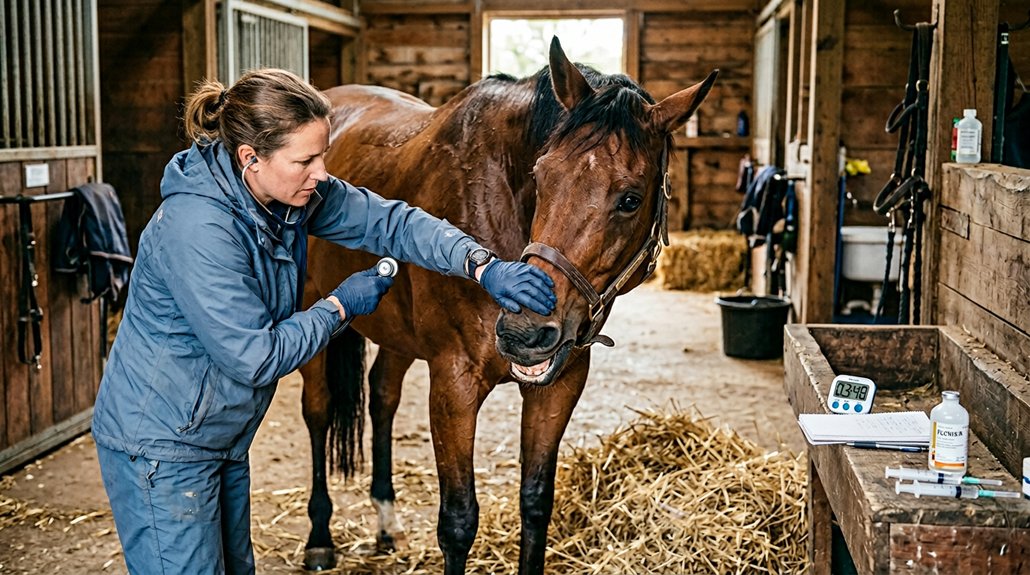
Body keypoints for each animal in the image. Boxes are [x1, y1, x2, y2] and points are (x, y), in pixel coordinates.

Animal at [299, 37, 717, 574]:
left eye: (630, 198)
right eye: (541, 175)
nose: (524, 333)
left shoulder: (558, 385)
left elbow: (536, 502)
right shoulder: (453, 385)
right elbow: (458, 521)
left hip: (398, 334)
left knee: (382, 397)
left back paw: (387, 522)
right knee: (318, 411)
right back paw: (319, 537)